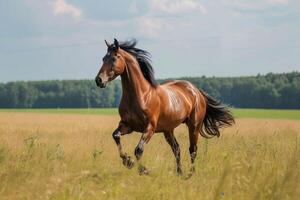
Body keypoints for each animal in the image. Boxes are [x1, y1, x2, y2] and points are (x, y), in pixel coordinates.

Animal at [95, 38, 233, 175]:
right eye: (103, 58)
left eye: (114, 58)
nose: (99, 80)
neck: (142, 95)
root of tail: (196, 91)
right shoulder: (127, 125)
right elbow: (116, 136)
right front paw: (128, 161)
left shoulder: (150, 128)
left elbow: (138, 150)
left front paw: (143, 170)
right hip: (168, 130)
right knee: (176, 148)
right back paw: (179, 173)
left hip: (194, 126)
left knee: (192, 149)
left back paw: (190, 174)